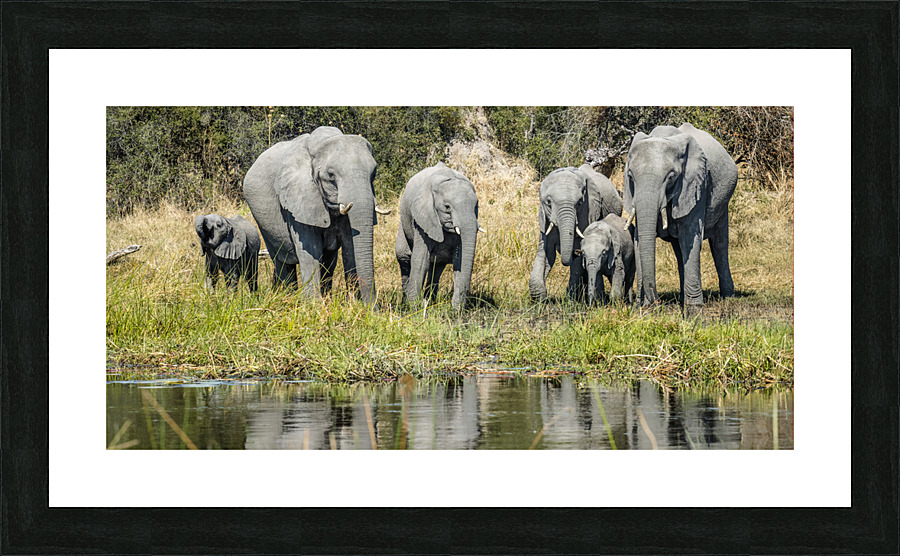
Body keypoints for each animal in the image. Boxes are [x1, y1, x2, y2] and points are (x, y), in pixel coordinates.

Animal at [242, 126, 390, 303]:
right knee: (281, 260)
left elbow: (350, 248)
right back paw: (288, 296)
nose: (374, 307)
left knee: (328, 262)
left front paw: (354, 303)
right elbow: (310, 249)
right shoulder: (297, 199)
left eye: (374, 173)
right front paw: (313, 304)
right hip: (262, 221)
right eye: (331, 176)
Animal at [395, 162, 483, 310]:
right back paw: (407, 303)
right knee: (404, 256)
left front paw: (456, 311)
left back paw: (430, 302)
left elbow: (460, 260)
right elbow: (421, 261)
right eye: (447, 207)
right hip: (404, 222)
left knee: (437, 264)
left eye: (476, 206)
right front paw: (414, 309)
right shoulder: (423, 218)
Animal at [528, 164, 623, 301]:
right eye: (549, 202)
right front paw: (540, 298)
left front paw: (571, 299)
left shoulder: (587, 213)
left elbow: (578, 256)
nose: (572, 255)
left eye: (579, 203)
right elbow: (546, 252)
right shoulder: (545, 219)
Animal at [622, 123, 737, 313]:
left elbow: (690, 237)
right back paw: (683, 297)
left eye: (671, 177)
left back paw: (728, 297)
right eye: (630, 176)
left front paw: (694, 310)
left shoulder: (697, 185)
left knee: (719, 245)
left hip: (723, 202)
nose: (656, 302)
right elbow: (639, 240)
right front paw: (642, 308)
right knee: (679, 250)